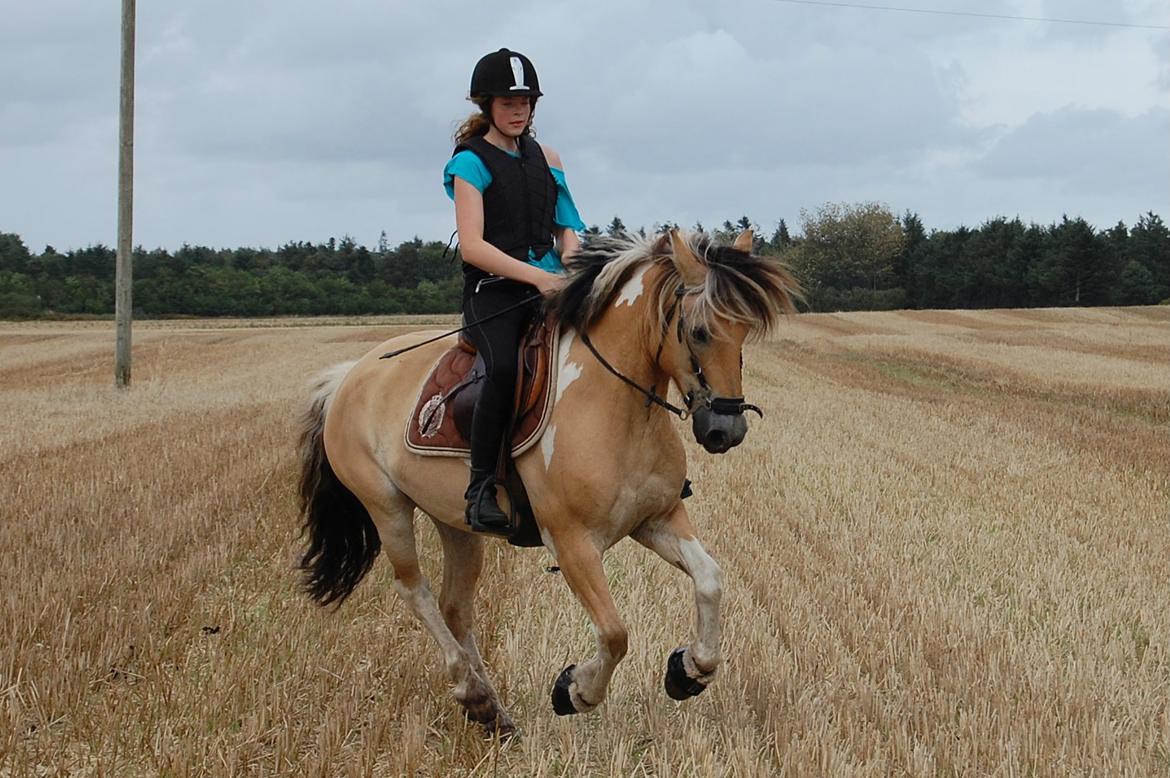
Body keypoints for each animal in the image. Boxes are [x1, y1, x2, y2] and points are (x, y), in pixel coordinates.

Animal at [297, 229, 800, 734]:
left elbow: (711, 580)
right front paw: (576, 690)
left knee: (455, 606)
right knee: (413, 588)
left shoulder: (658, 518)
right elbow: (615, 633)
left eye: (744, 332)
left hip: (456, 523)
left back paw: (491, 711)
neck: (614, 403)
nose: (725, 431)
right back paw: (471, 689)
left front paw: (689, 669)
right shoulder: (571, 543)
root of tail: (348, 376)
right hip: (386, 506)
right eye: (698, 332)